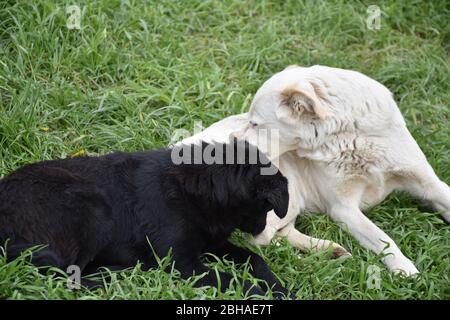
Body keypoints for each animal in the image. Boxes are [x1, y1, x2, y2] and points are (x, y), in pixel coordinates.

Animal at [0, 140, 290, 298]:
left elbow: (254, 259)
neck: (195, 191)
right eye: (266, 206)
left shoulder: (212, 244)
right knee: (69, 275)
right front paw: (264, 293)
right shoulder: (182, 264)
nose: (262, 229)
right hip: (93, 208)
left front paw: (279, 287)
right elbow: (231, 279)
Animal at [180, 65, 450, 276]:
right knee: (260, 239)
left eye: (255, 123)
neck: (351, 137)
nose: (232, 141)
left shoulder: (429, 184)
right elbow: (382, 237)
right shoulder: (343, 209)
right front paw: (404, 267)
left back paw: (329, 251)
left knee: (279, 233)